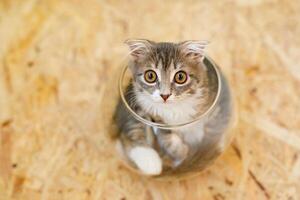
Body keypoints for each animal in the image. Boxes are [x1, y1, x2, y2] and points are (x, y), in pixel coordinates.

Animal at [113, 39, 233, 177]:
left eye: (180, 77)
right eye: (150, 76)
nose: (165, 95)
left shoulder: (220, 105)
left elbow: (210, 136)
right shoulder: (136, 103)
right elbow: (141, 129)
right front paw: (155, 160)